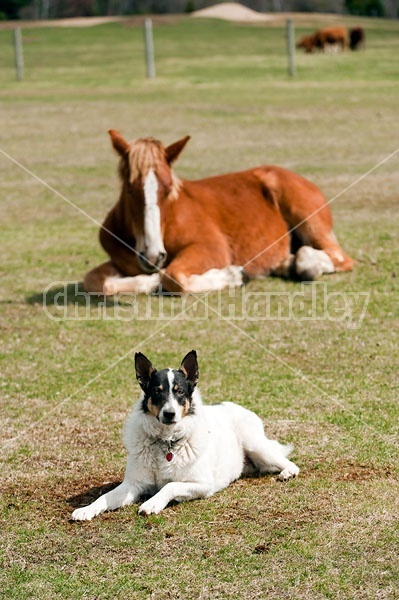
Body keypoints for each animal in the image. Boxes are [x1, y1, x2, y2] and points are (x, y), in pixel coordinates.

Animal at [72, 352, 298, 520]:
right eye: (157, 391)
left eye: (179, 391)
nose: (169, 414)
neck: (166, 442)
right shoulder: (132, 485)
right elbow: (104, 497)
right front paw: (86, 509)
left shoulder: (202, 484)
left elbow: (170, 485)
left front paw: (152, 503)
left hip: (255, 445)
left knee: (289, 462)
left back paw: (287, 473)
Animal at [84, 132, 354, 296]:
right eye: (129, 189)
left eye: (168, 189)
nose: (153, 256)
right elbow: (94, 281)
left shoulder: (211, 247)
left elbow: (173, 277)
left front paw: (233, 275)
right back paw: (287, 264)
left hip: (308, 219)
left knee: (340, 257)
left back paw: (306, 265)